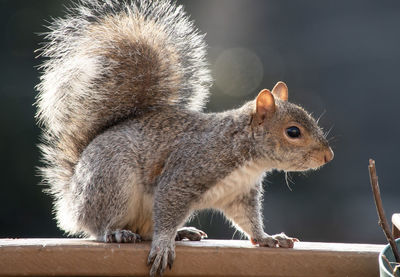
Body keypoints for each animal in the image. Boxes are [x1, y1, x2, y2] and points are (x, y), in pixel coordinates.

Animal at [35, 1, 334, 274]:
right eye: (293, 132)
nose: (328, 156)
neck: (246, 156)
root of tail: (72, 197)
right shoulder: (185, 173)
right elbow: (168, 208)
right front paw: (164, 245)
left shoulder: (239, 194)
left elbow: (248, 221)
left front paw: (267, 238)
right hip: (113, 183)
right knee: (100, 225)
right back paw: (118, 232)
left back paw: (183, 232)